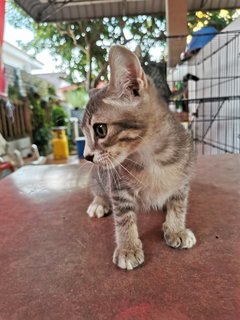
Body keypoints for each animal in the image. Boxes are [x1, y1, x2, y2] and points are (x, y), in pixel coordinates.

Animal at [81, 45, 197, 270]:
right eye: (84, 133)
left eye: (100, 129)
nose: (87, 156)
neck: (152, 157)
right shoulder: (118, 187)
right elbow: (124, 218)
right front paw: (128, 248)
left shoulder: (184, 178)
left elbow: (178, 205)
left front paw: (176, 229)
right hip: (99, 177)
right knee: (98, 189)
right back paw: (99, 202)